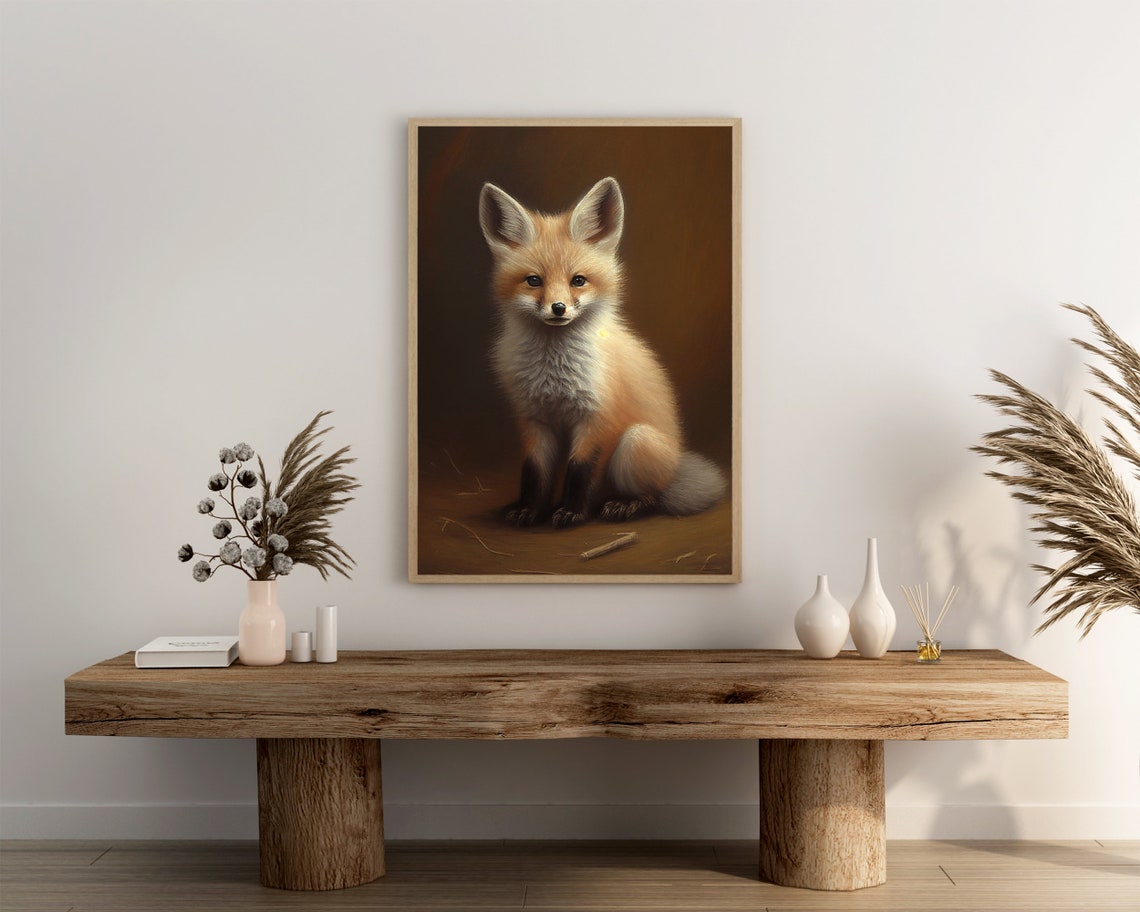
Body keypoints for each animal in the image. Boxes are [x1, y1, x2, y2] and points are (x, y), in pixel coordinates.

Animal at [478, 176, 727, 529]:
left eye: (578, 280)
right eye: (534, 281)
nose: (558, 308)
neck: (554, 373)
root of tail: (677, 467)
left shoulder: (598, 417)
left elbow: (580, 470)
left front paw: (572, 512)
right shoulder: (534, 419)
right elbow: (534, 473)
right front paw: (529, 509)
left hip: (636, 442)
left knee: (654, 496)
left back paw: (625, 504)